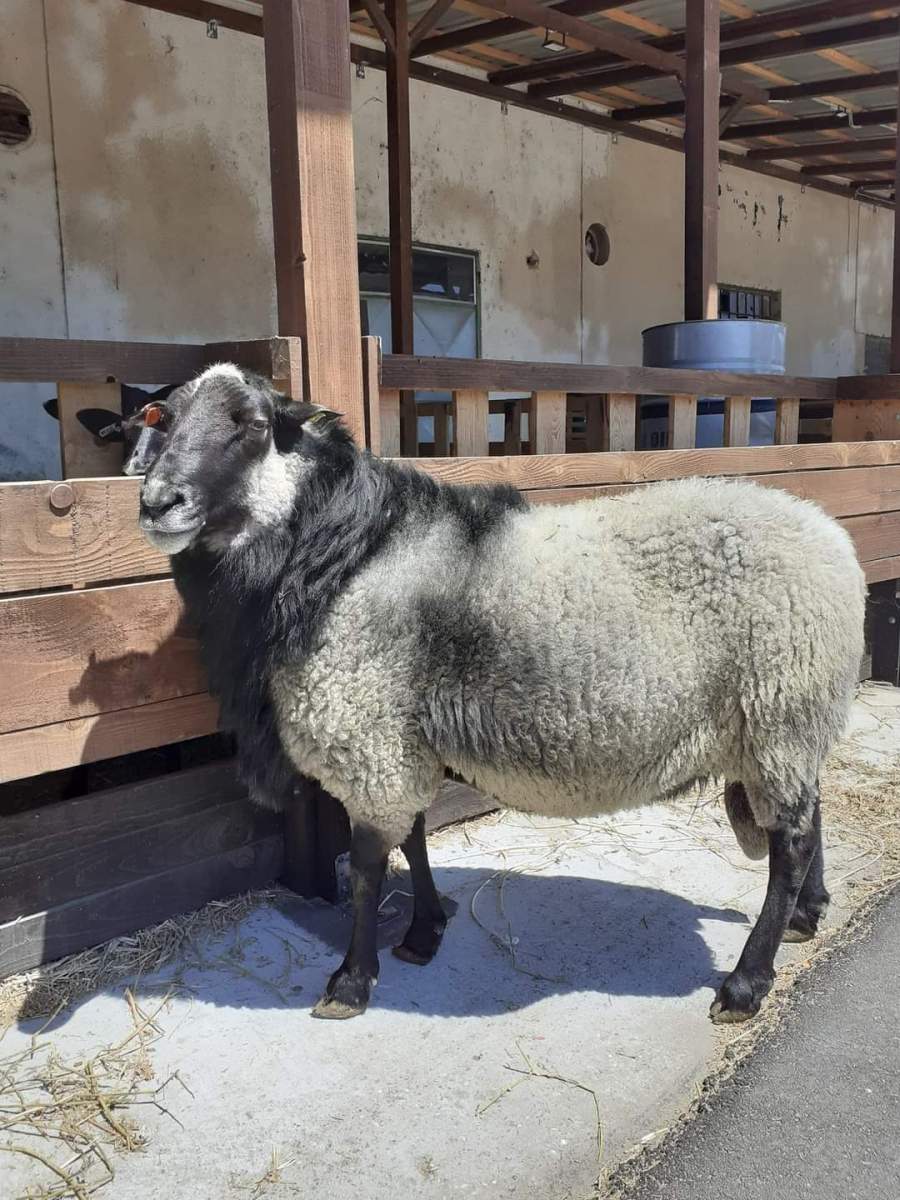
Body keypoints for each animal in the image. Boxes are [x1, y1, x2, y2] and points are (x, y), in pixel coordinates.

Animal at [136, 364, 866, 1024]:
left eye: (253, 425)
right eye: (162, 418)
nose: (156, 502)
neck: (339, 558)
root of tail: (831, 537)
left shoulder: (371, 734)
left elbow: (369, 867)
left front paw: (351, 981)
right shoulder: (399, 736)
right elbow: (415, 838)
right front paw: (425, 931)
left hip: (780, 705)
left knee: (789, 843)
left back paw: (746, 983)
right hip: (790, 723)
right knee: (809, 814)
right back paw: (806, 915)